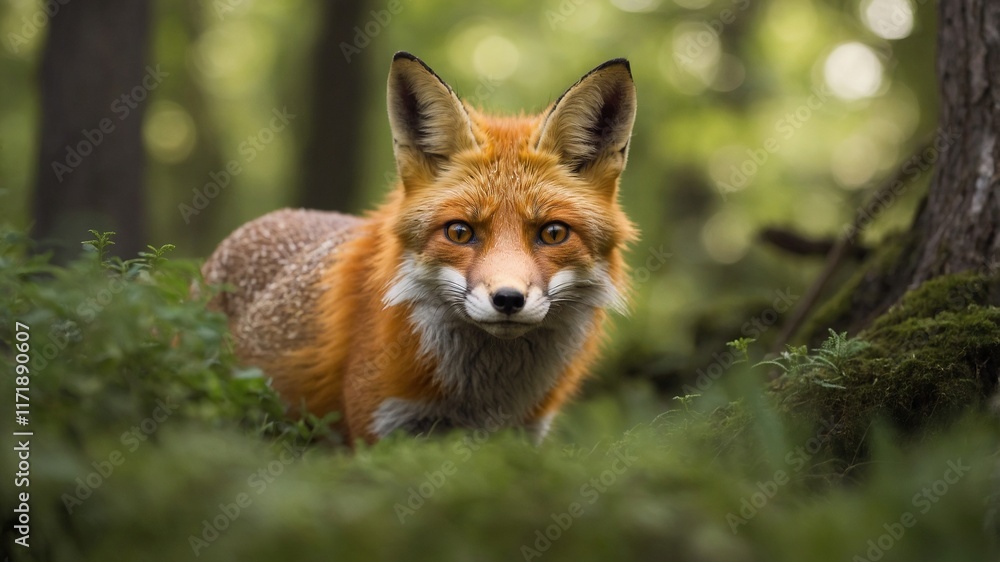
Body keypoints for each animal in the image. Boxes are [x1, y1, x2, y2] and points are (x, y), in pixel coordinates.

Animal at [201, 52, 638, 444]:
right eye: (459, 232)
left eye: (553, 233)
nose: (508, 300)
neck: (486, 399)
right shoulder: (382, 428)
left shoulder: (521, 436)